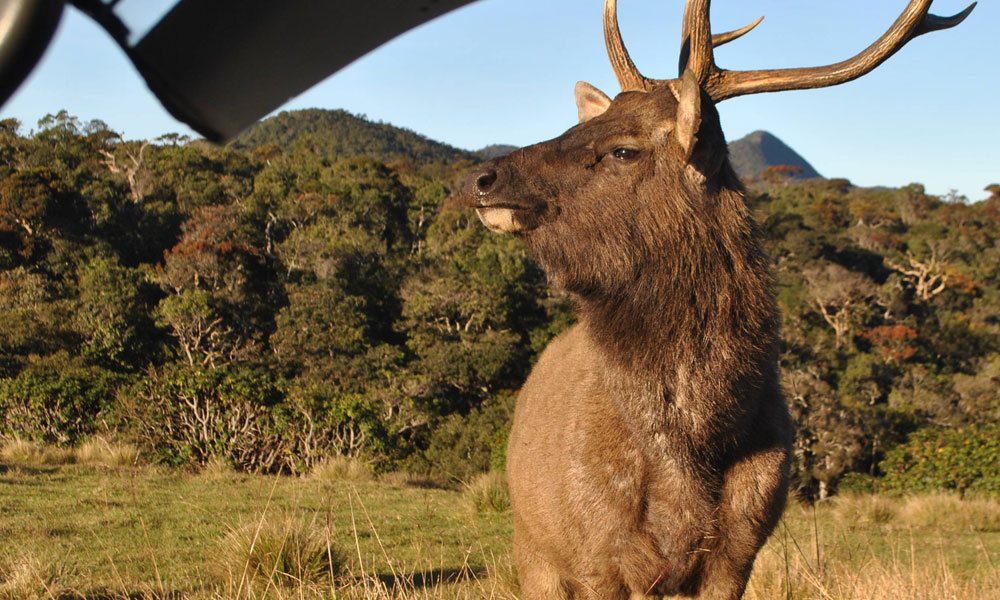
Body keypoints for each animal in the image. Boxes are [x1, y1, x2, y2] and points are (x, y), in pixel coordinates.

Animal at [454, 1, 976, 600]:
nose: (481, 178)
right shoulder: (593, 553)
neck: (692, 445)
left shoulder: (738, 550)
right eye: (579, 124)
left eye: (623, 149)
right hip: (534, 548)